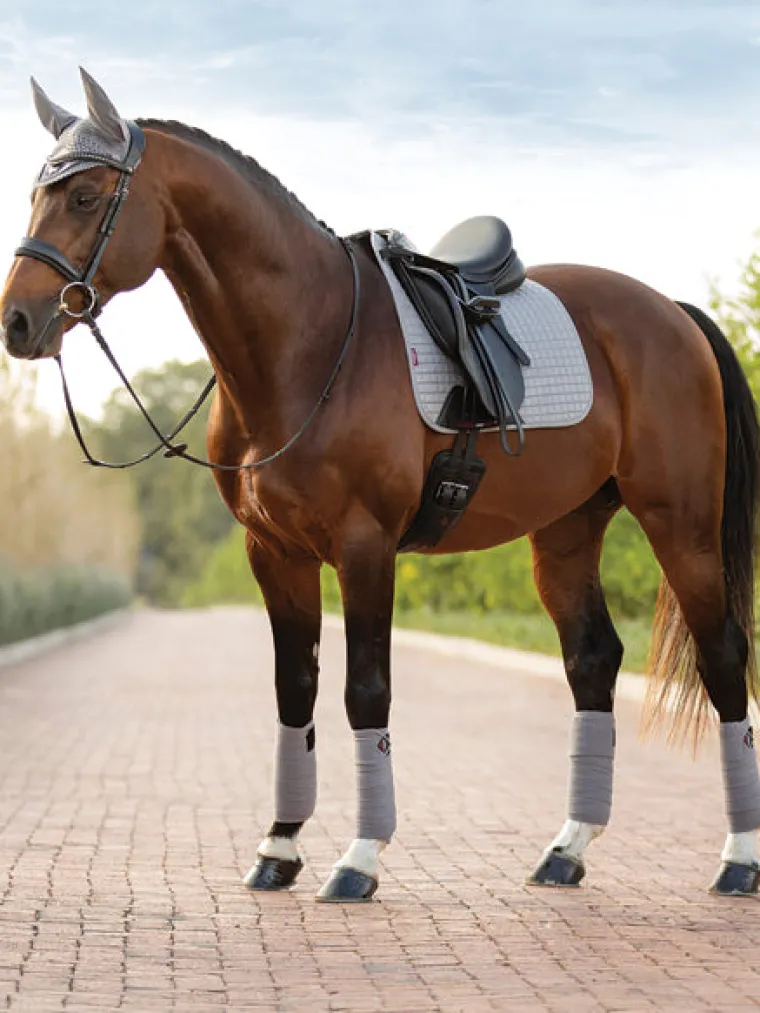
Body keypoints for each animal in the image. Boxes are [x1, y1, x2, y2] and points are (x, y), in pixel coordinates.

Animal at [2, 68, 759, 902]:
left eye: (85, 196)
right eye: (38, 194)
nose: (18, 320)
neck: (311, 340)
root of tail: (672, 313)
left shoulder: (365, 547)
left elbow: (366, 690)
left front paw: (358, 857)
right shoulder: (275, 554)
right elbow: (294, 689)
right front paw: (278, 848)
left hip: (680, 523)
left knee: (724, 655)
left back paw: (738, 859)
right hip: (565, 531)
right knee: (592, 659)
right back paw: (566, 850)